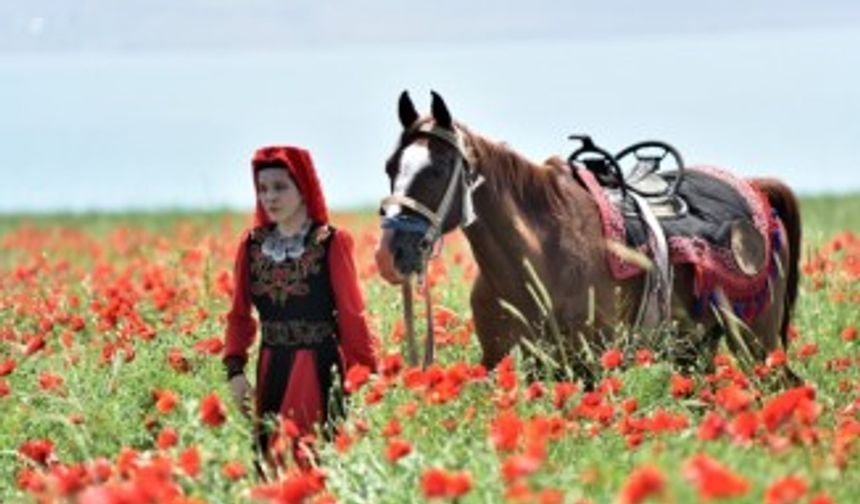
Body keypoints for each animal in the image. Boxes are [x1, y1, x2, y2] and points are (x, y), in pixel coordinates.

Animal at [372, 90, 804, 384]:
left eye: (438, 168)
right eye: (390, 166)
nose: (389, 254)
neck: (540, 257)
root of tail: (758, 191)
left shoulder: (587, 366)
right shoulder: (505, 363)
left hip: (757, 342)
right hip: (697, 348)